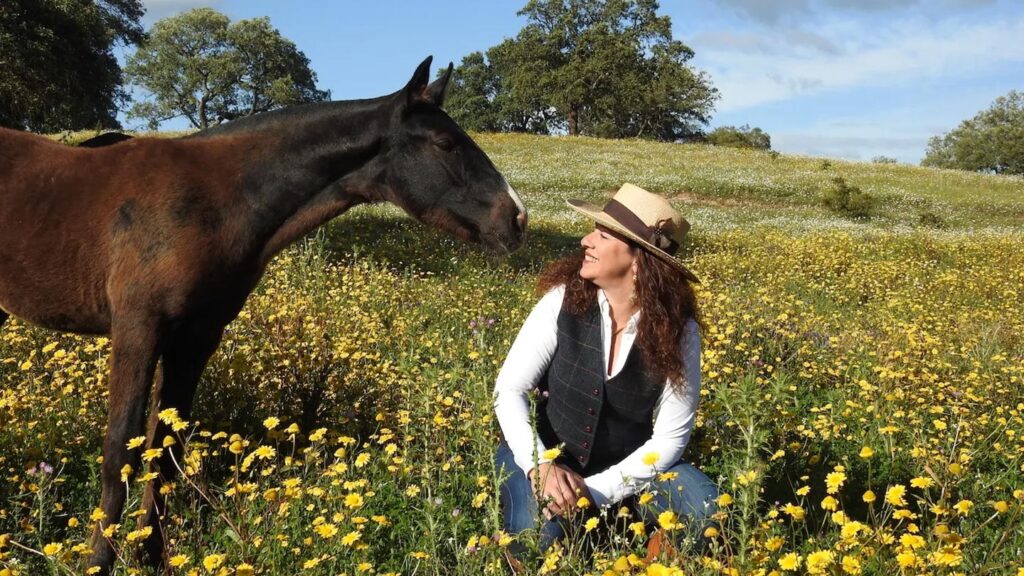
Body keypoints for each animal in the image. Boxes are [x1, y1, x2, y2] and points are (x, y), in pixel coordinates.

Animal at [0, 56, 527, 575]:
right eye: (445, 144)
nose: (517, 219)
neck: (213, 203)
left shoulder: (196, 338)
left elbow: (165, 450)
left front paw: (152, 555)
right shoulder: (138, 329)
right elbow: (119, 451)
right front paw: (99, 561)